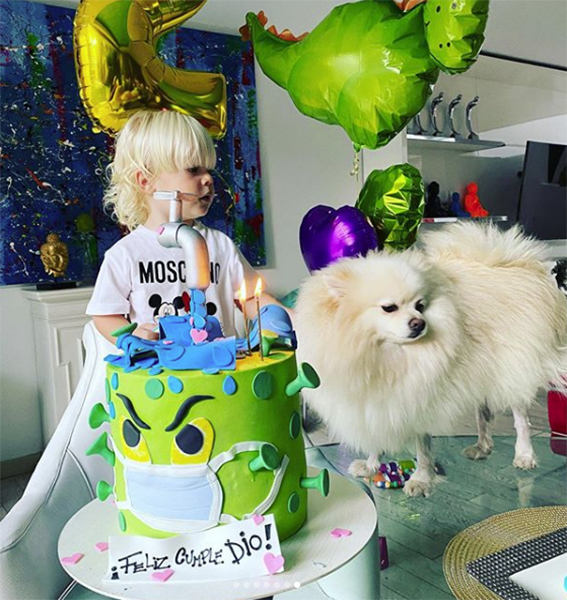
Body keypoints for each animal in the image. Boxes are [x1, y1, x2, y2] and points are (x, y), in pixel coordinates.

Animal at [295, 223, 567, 497]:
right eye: (389, 308)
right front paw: (372, 465)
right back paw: (482, 446)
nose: (419, 323)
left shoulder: (419, 399)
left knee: (521, 420)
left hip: (514, 368)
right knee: (483, 414)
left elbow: (423, 446)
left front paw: (421, 479)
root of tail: (519, 265)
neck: (381, 356)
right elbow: (376, 439)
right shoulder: (375, 403)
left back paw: (524, 454)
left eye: (420, 305)